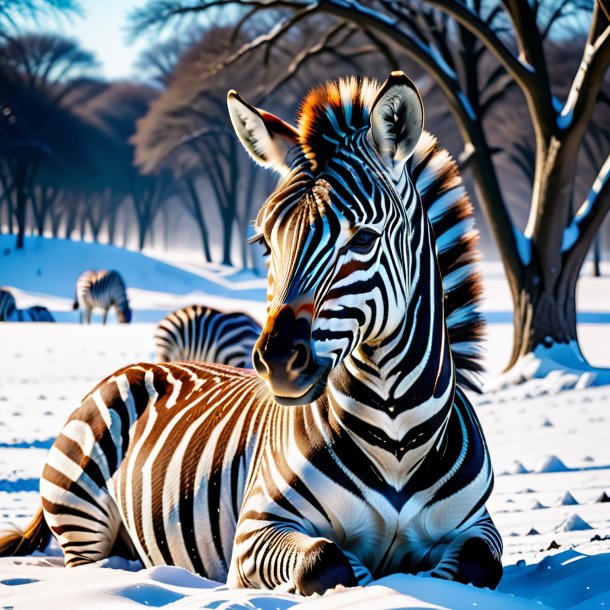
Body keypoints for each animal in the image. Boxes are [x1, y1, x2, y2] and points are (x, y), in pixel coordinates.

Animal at [0, 73, 502, 592]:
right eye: (264, 242)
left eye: (363, 238)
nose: (279, 361)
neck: (396, 434)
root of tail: (136, 367)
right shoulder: (255, 528)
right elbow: (327, 560)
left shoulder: (478, 525)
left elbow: (476, 563)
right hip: (81, 515)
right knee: (89, 566)